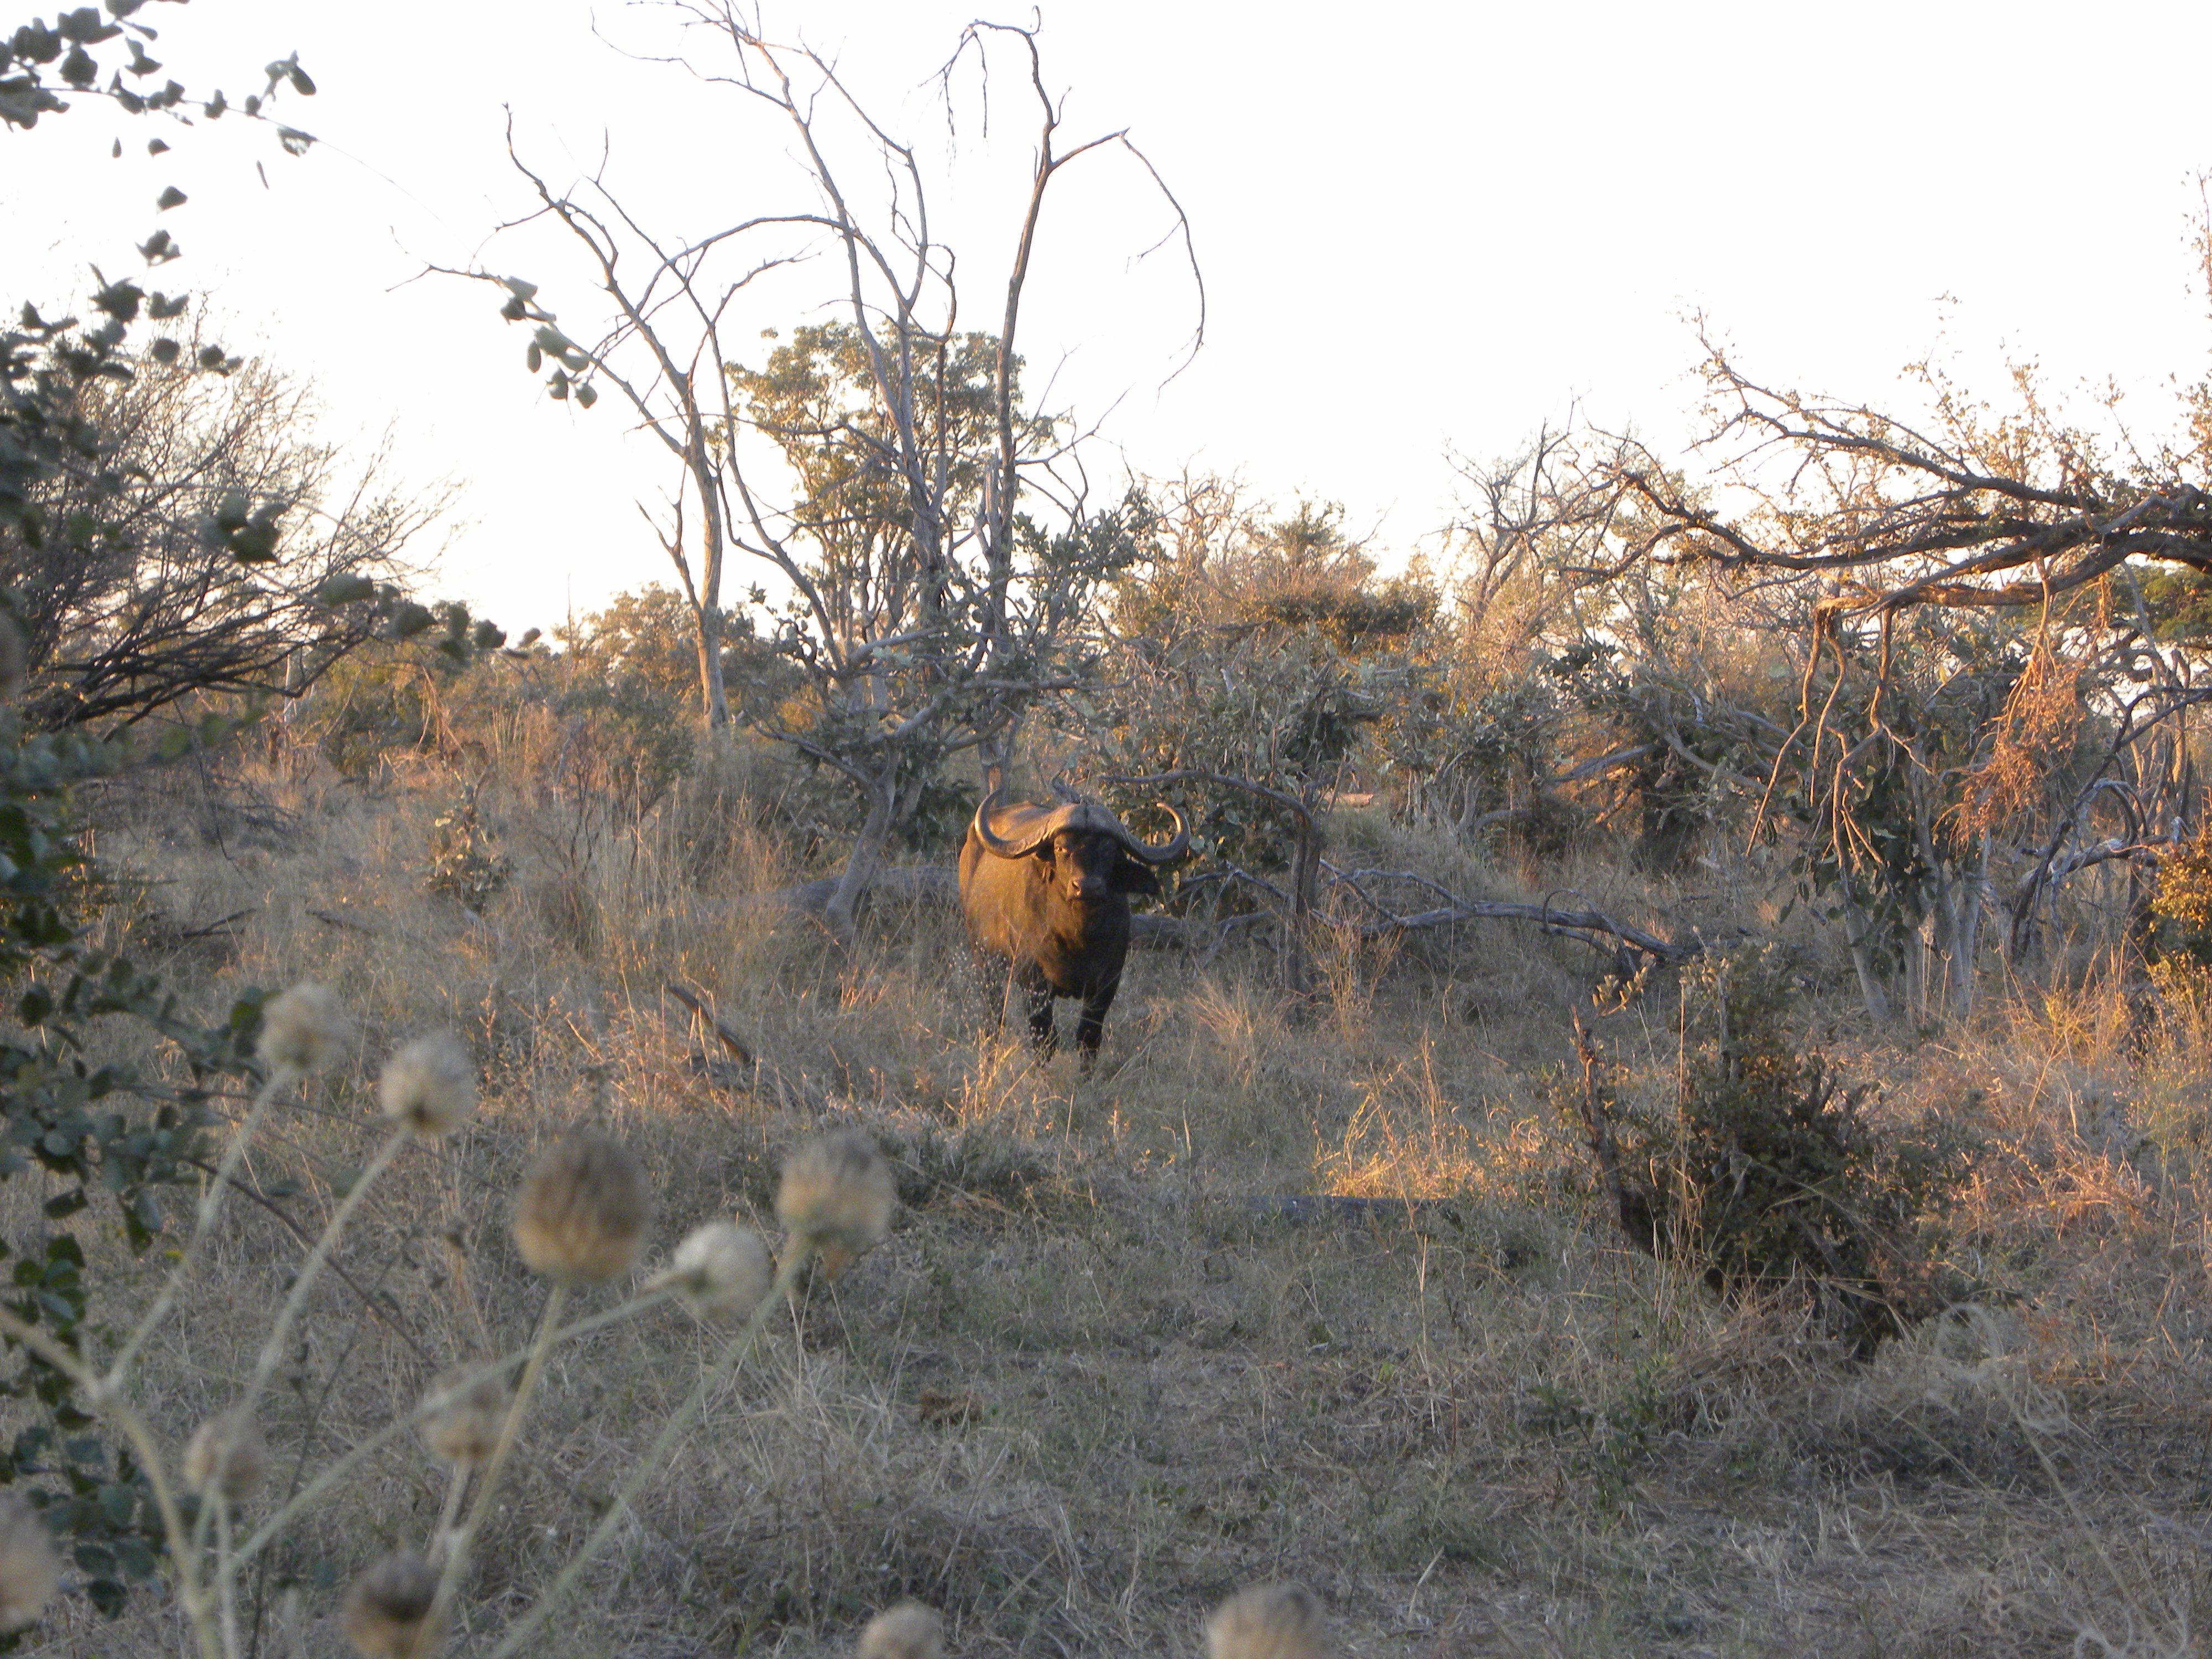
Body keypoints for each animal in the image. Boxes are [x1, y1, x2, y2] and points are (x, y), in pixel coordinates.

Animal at [958, 789, 1191, 1070]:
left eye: (1108, 849)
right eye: (1061, 848)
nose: (1087, 887)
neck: (1077, 937)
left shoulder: (1107, 983)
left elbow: (1088, 1038)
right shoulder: (1034, 982)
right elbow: (1045, 1039)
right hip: (985, 962)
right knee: (994, 1017)